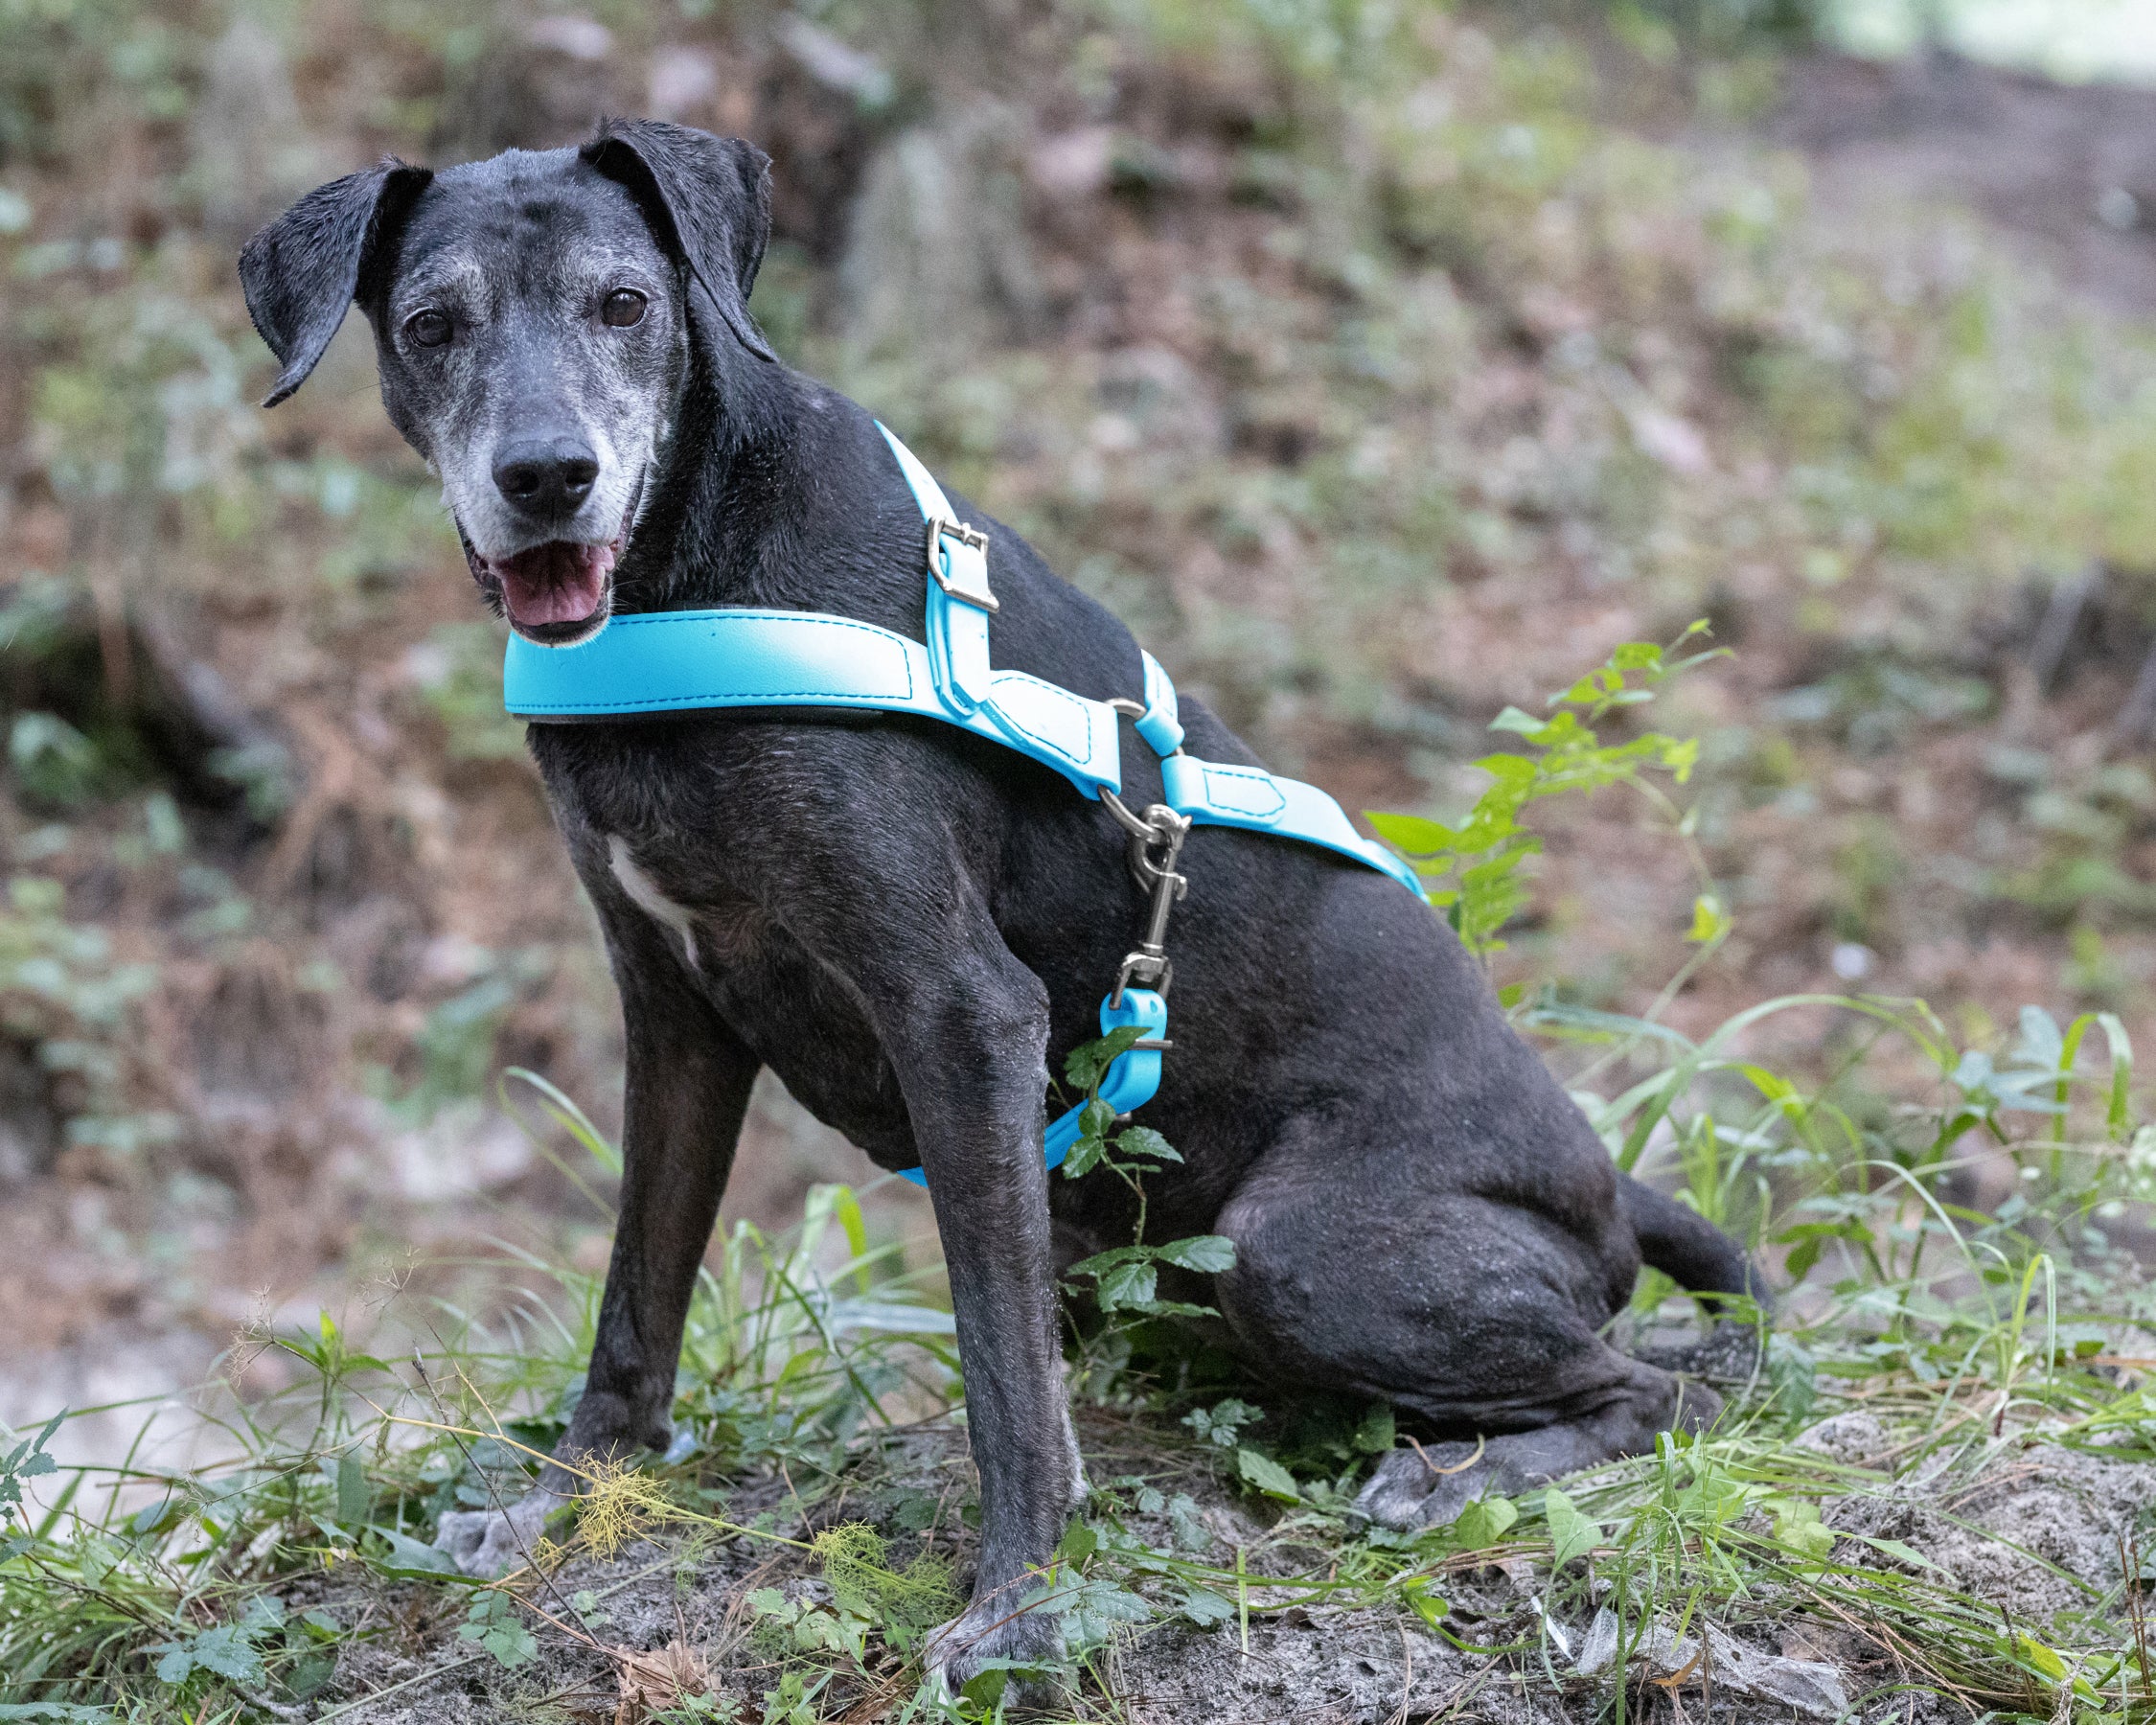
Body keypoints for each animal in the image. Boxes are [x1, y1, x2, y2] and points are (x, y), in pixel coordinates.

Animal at [240, 124, 1751, 1699]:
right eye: (431, 325)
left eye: (624, 304)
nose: (547, 477)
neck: (687, 570)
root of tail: (1607, 1189)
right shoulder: (673, 1014)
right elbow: (633, 1302)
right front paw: (564, 1500)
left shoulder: (960, 1014)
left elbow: (1001, 1375)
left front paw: (1022, 1608)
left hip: (1299, 1248)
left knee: (1665, 1392)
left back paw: (1460, 1477)